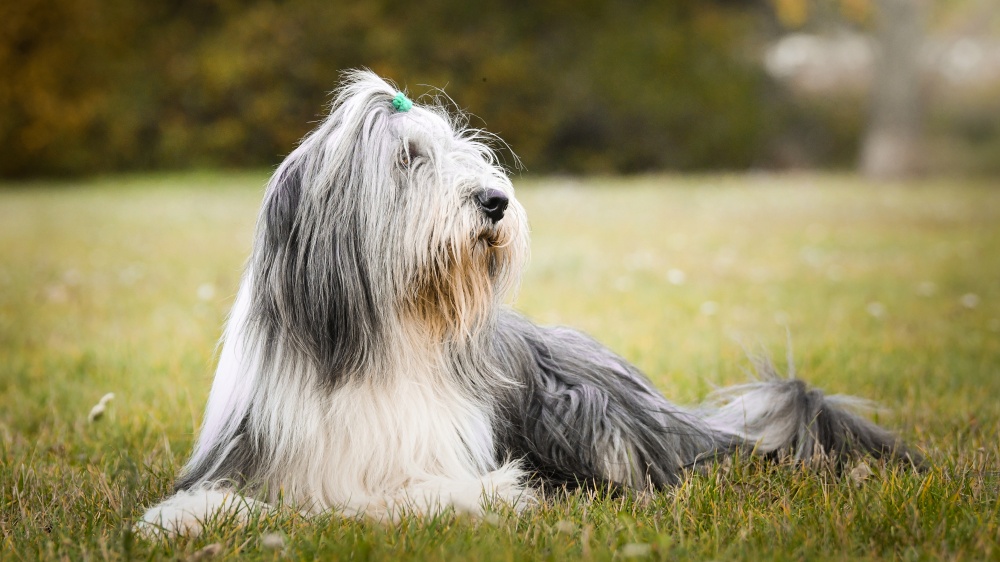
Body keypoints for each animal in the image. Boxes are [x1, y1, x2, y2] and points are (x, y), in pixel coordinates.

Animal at [137, 70, 916, 532]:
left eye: (466, 154)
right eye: (408, 159)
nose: (495, 201)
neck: (384, 337)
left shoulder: (452, 466)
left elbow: (416, 493)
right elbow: (208, 502)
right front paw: (187, 520)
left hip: (585, 410)